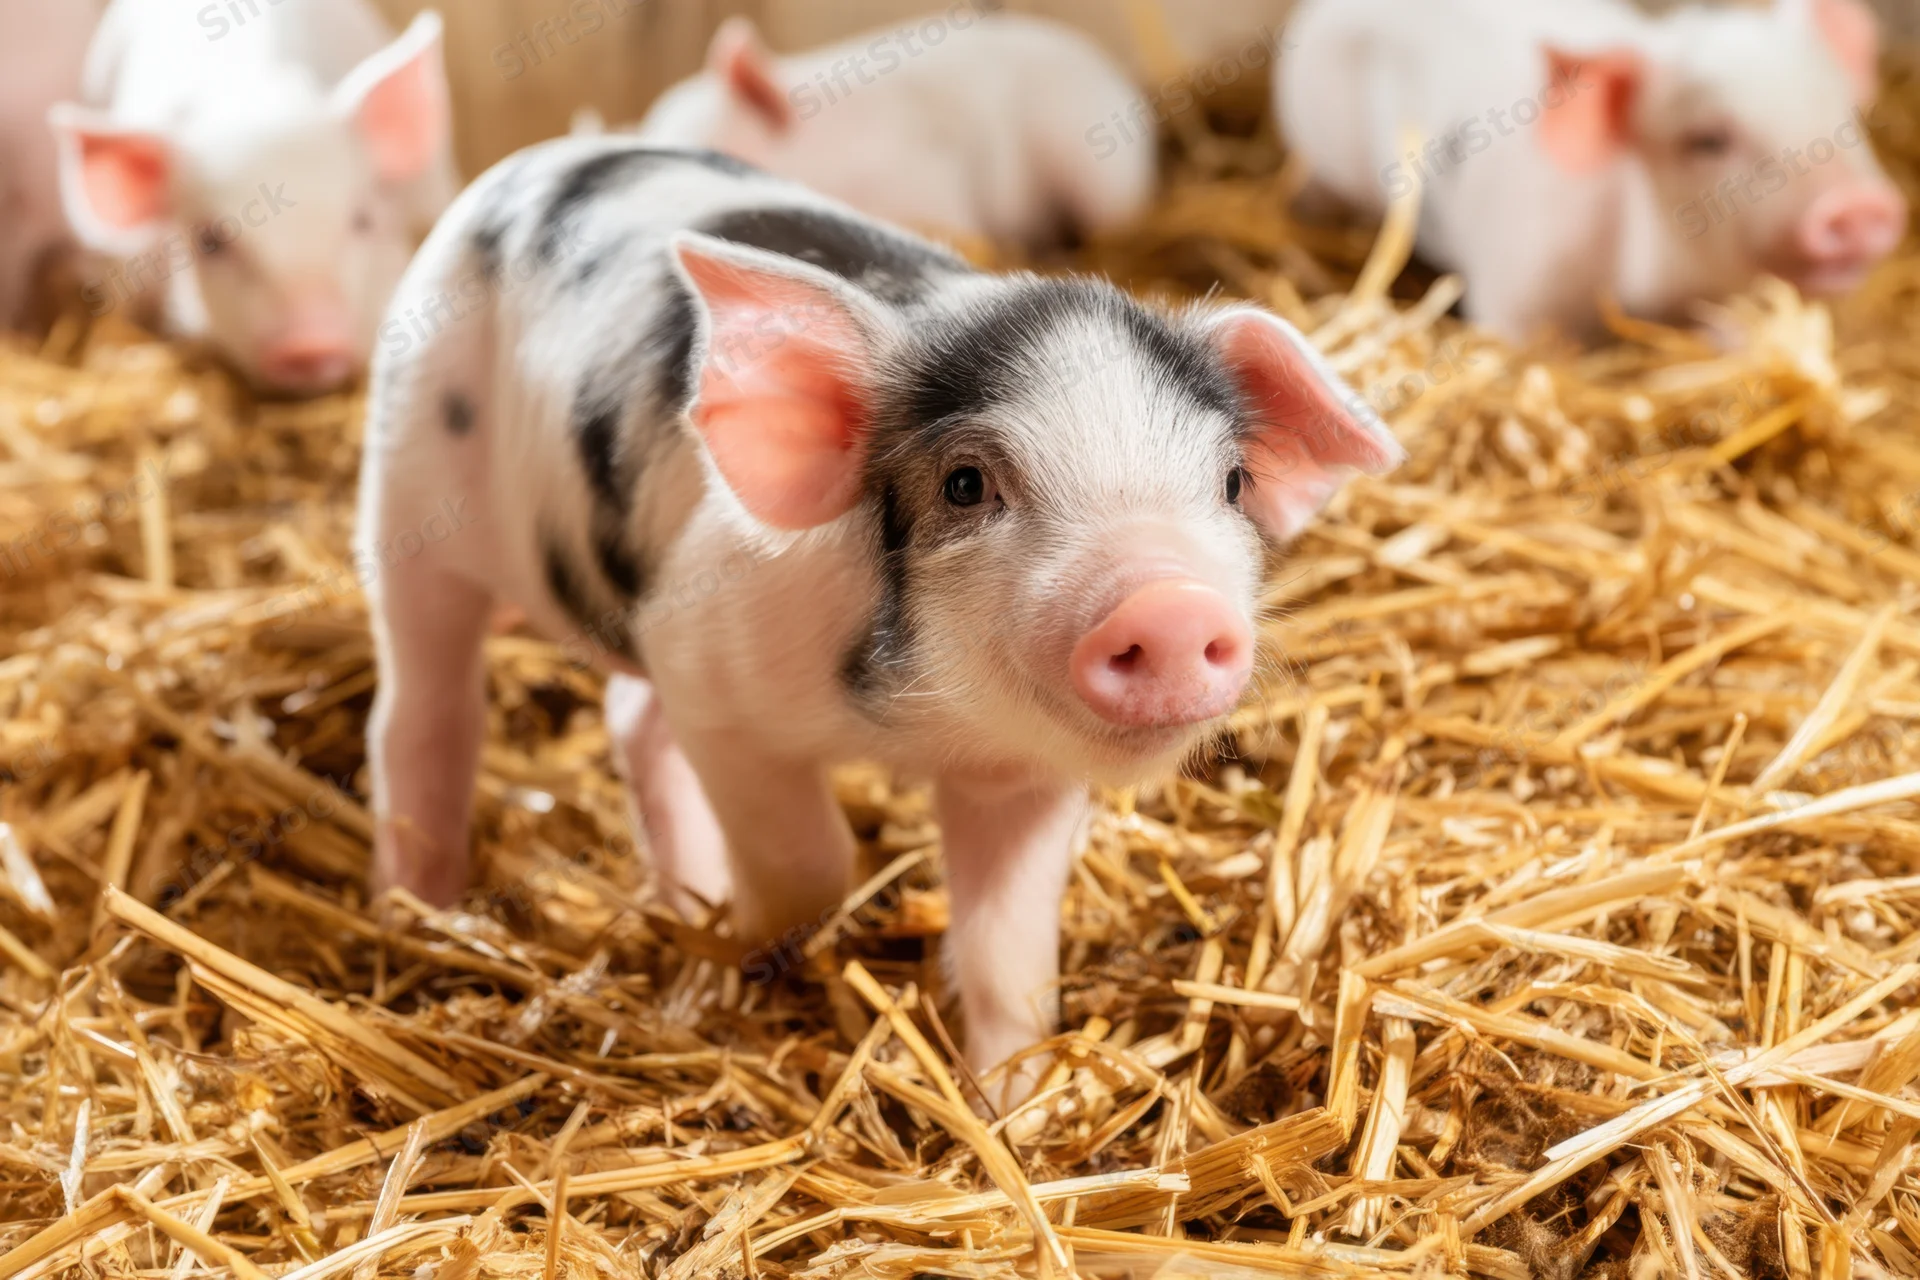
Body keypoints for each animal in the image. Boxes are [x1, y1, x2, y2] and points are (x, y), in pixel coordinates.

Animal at [356, 137, 1401, 1095]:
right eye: (966, 484)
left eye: (1232, 483)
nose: (1171, 603)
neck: (915, 724)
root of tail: (529, 163)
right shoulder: (712, 677)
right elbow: (814, 861)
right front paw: (760, 951)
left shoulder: (1022, 777)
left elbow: (1008, 947)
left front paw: (1013, 1104)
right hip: (408, 495)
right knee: (419, 713)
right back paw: (419, 909)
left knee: (627, 719)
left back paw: (683, 898)